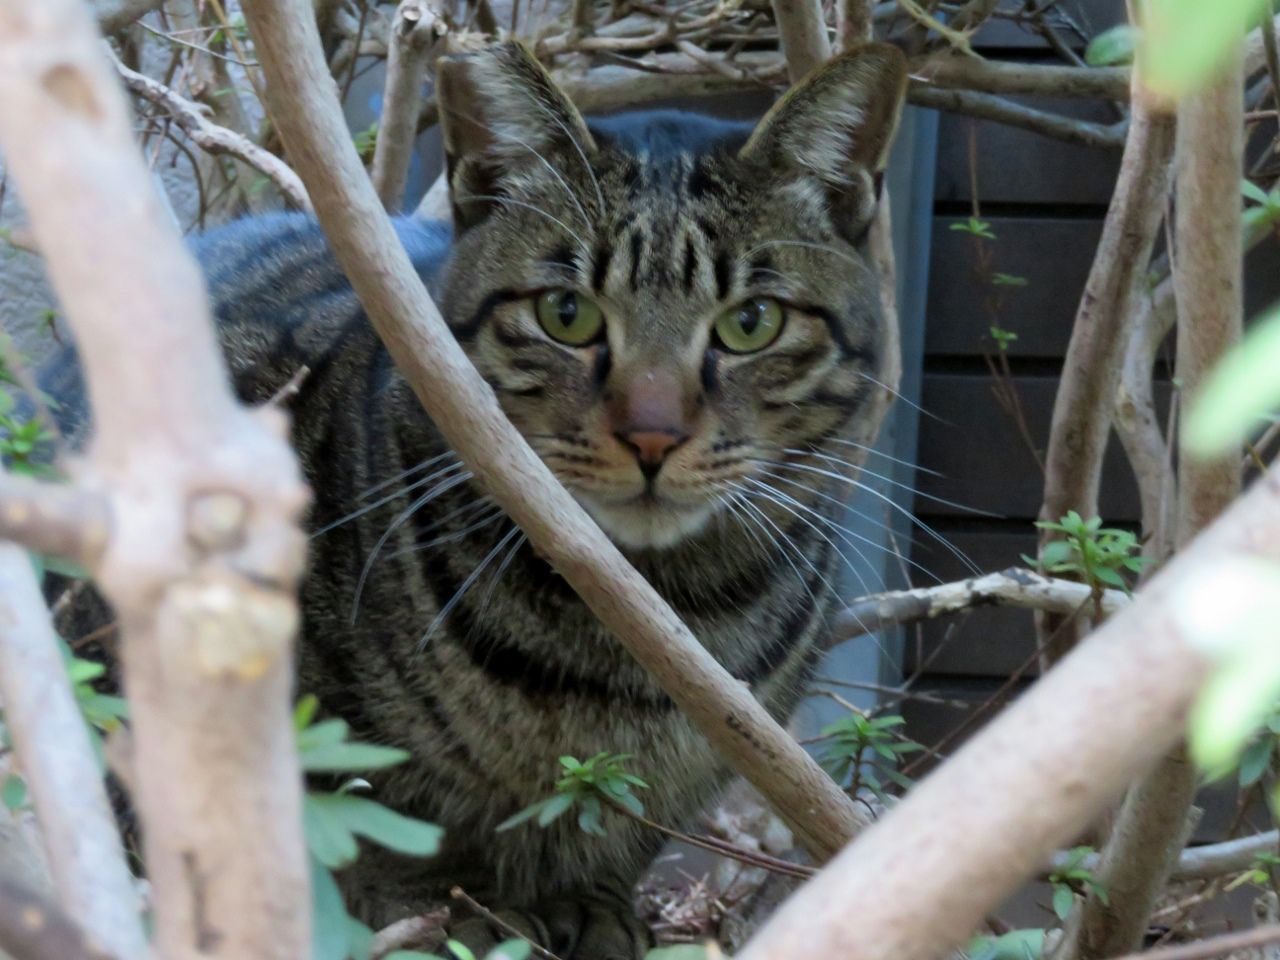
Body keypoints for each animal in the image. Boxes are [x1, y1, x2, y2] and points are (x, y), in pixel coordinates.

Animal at [45, 41, 911, 960]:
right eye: (566, 314)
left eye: (752, 323)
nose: (652, 436)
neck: (650, 621)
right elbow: (369, 829)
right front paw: (450, 914)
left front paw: (592, 908)